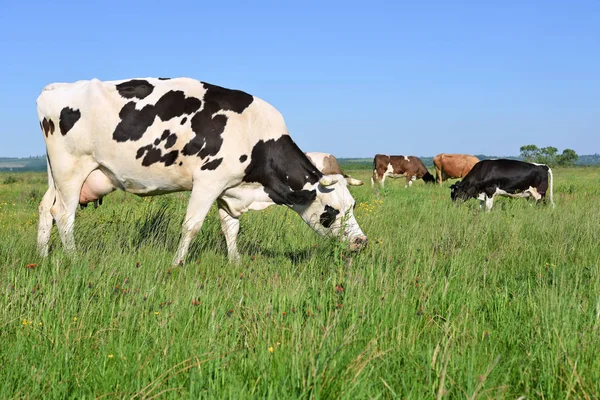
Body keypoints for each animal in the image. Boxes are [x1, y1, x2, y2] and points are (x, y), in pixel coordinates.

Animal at [37, 78, 368, 266]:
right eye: (332, 209)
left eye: (352, 204)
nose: (361, 242)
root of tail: (57, 88)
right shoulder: (208, 182)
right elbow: (191, 226)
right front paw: (177, 263)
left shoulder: (229, 189)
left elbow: (231, 228)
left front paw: (235, 263)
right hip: (71, 169)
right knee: (63, 215)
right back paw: (73, 259)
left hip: (56, 174)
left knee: (44, 209)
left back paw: (42, 257)